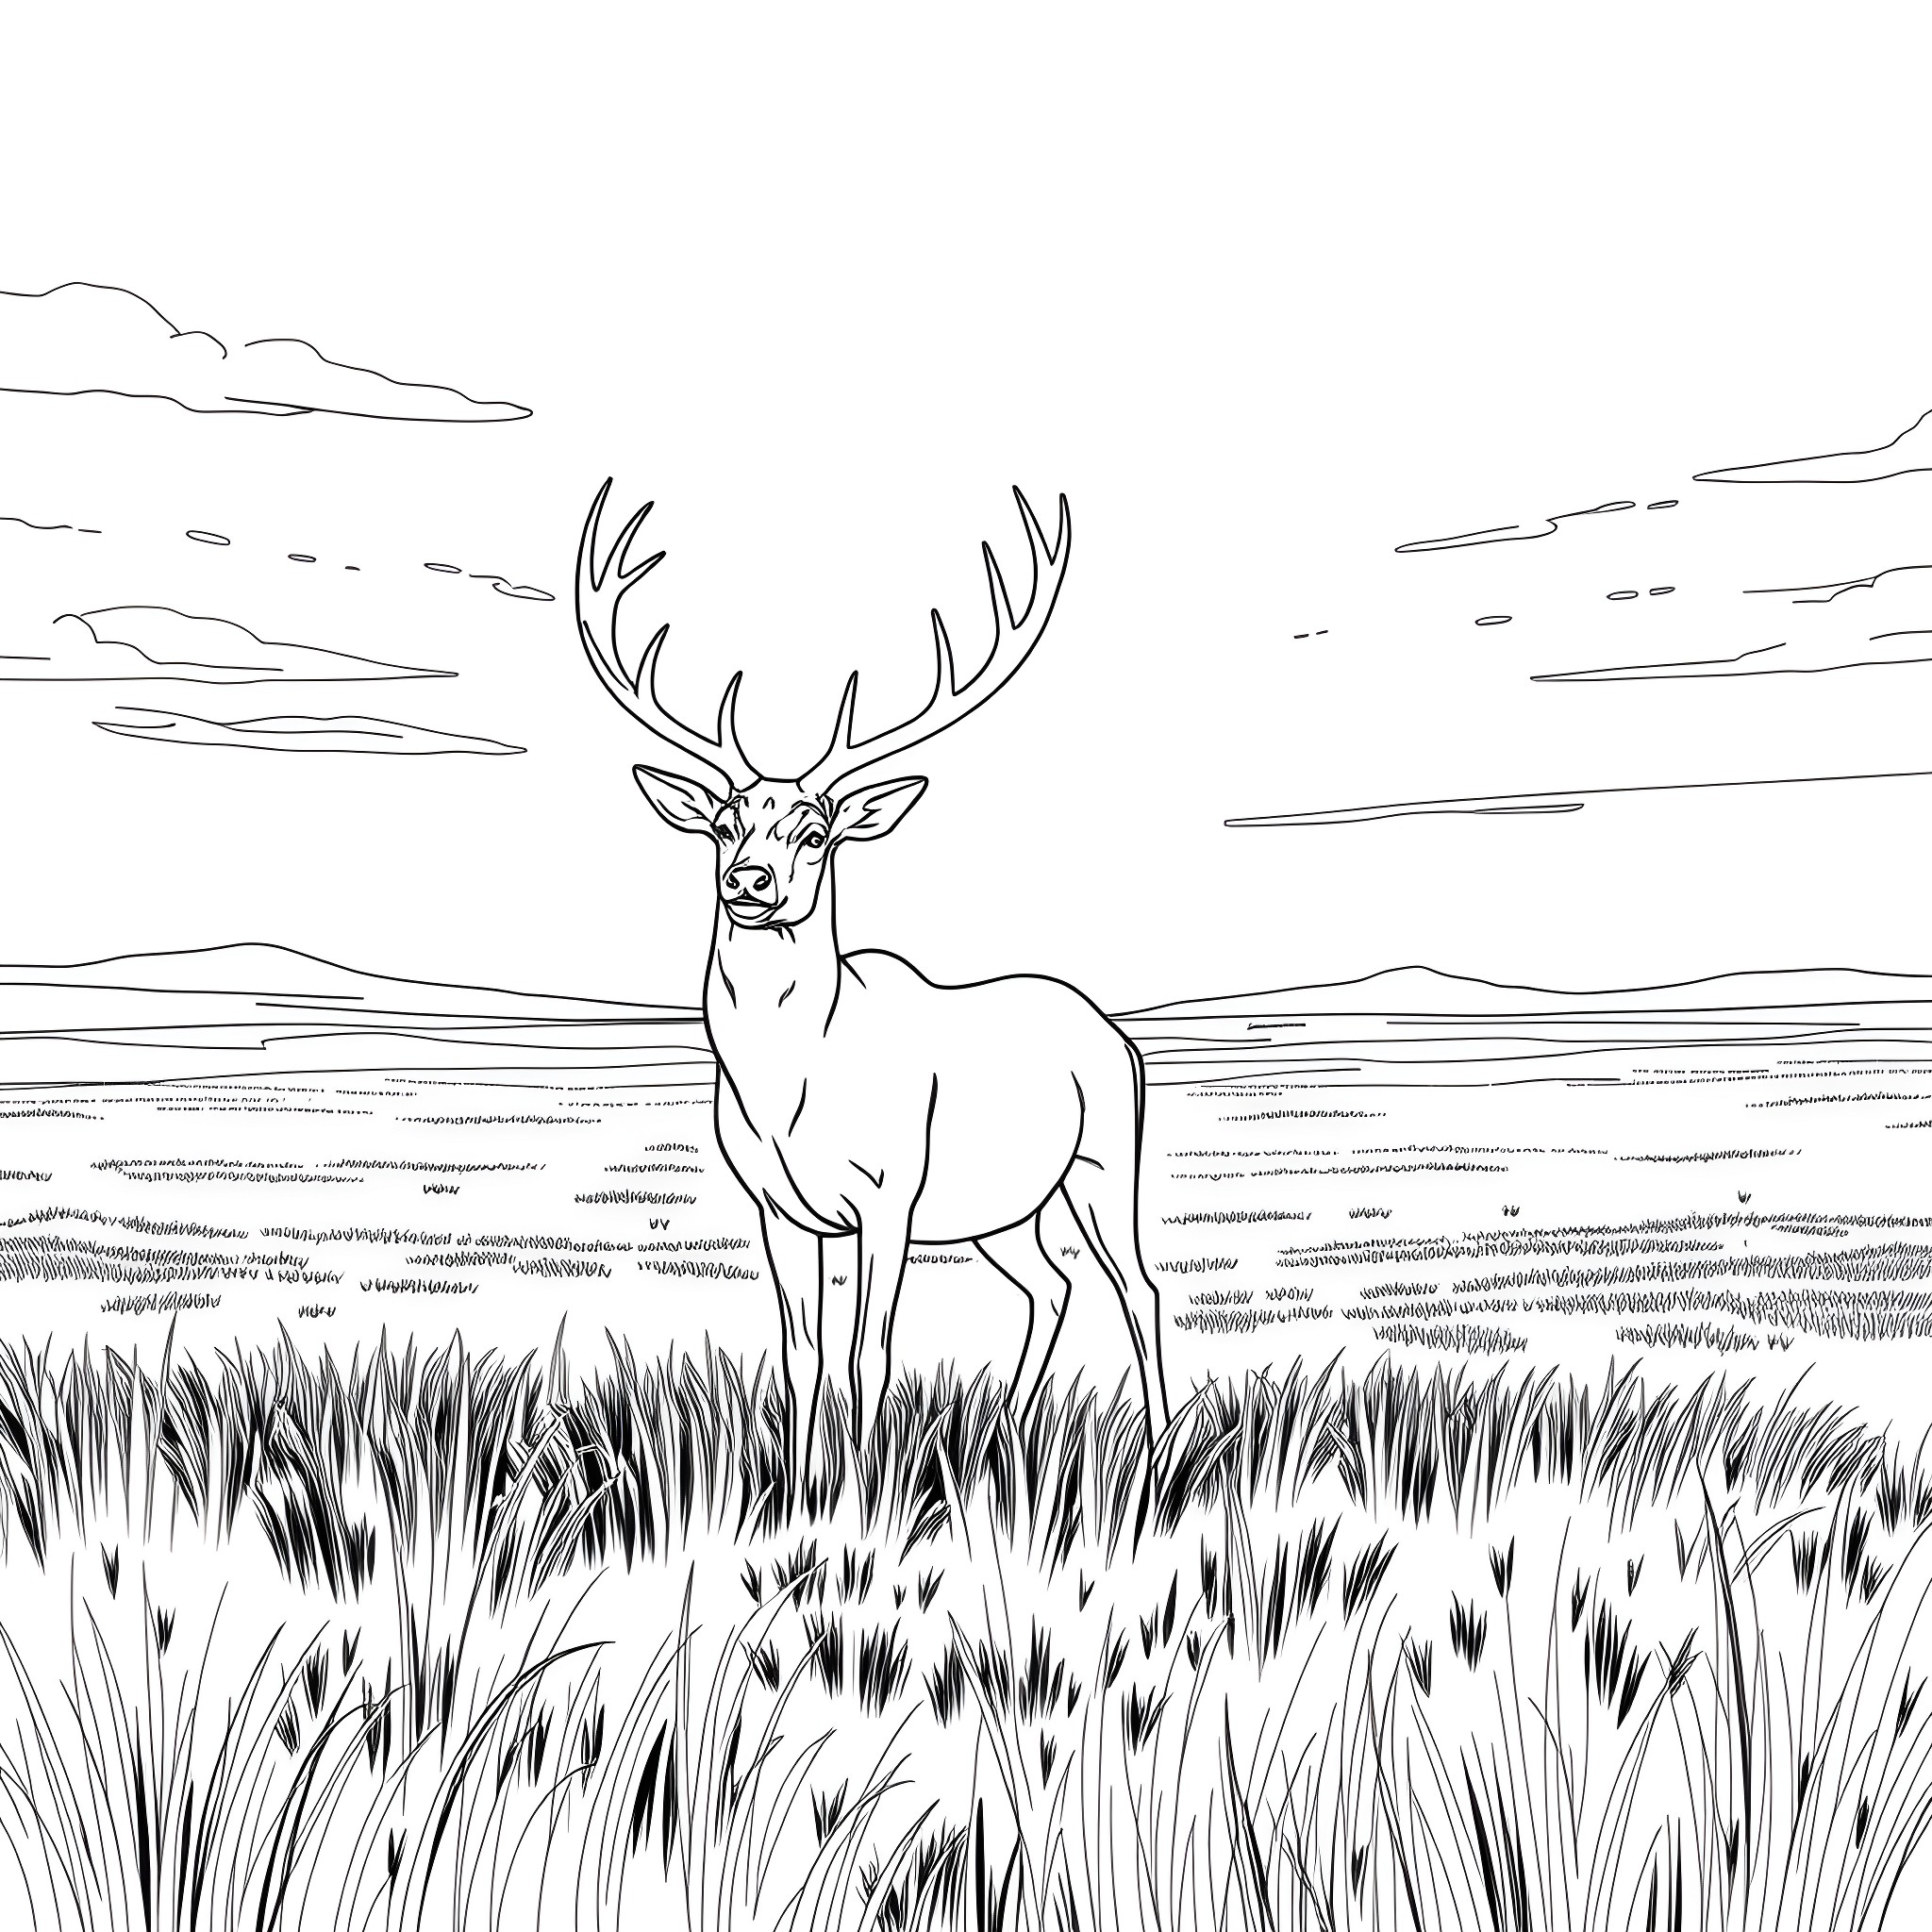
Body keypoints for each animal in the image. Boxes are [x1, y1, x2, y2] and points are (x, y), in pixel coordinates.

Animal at [574, 480, 1171, 1482]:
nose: (750, 882)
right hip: (995, 1210)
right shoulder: (780, 1207)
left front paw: (866, 1483)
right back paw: (1008, 1436)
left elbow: (871, 1349)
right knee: (1050, 1286)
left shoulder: (889, 1194)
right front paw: (801, 1482)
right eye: (726, 823)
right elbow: (803, 1349)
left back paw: (1161, 1453)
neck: (791, 1088)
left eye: (816, 832)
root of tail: (1112, 1034)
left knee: (1139, 1287)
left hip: (1099, 1164)